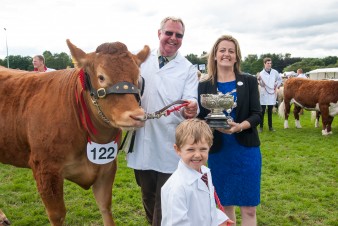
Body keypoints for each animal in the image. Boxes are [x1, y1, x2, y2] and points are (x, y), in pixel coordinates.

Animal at [0, 39, 150, 225]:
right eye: (101, 77)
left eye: (138, 78)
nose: (137, 116)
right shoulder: (45, 169)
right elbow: (57, 215)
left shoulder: (107, 166)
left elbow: (105, 206)